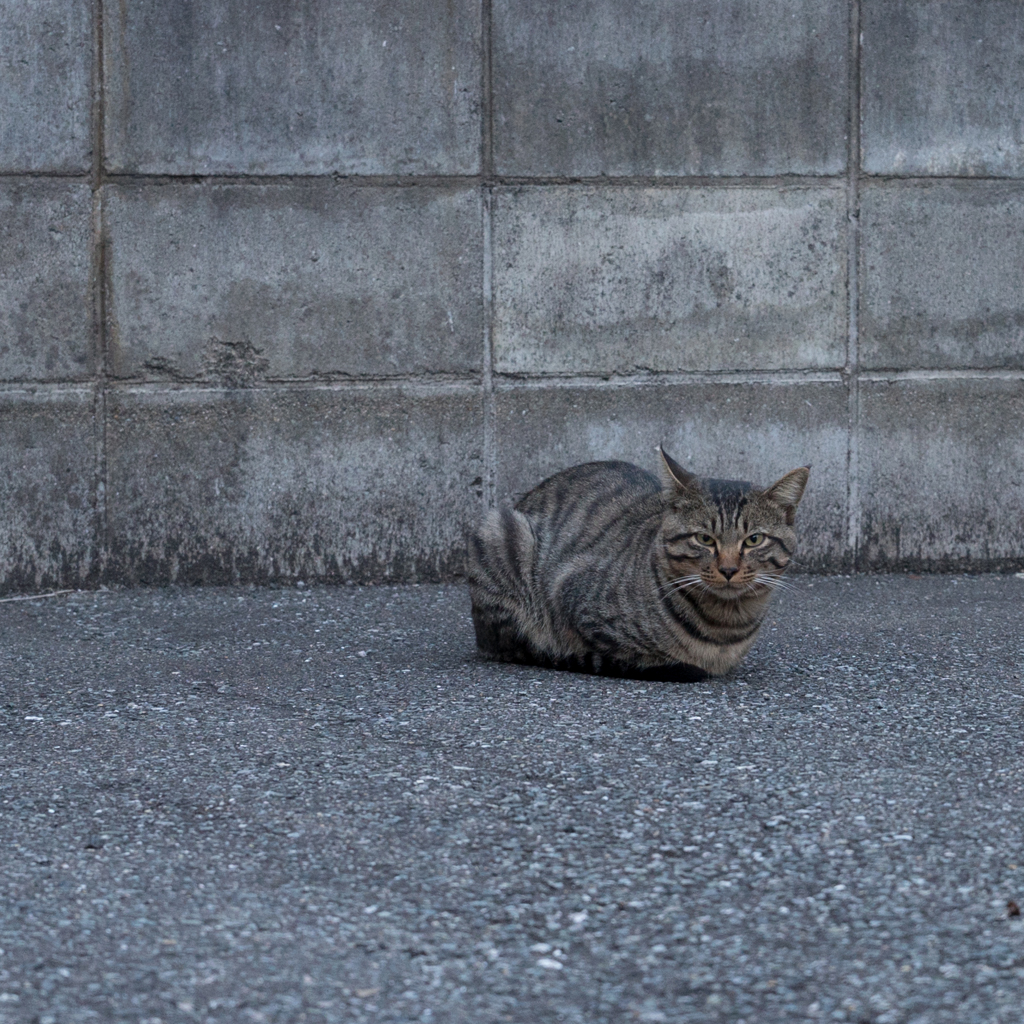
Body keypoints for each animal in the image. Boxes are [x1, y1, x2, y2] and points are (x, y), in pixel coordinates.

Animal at [464, 446, 806, 679]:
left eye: (754, 540)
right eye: (705, 539)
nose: (729, 569)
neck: (724, 627)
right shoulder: (570, 592)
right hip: (502, 532)